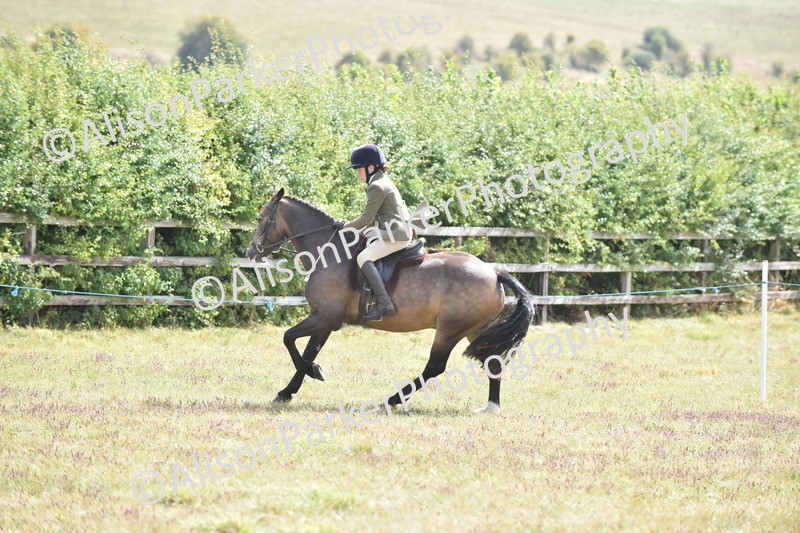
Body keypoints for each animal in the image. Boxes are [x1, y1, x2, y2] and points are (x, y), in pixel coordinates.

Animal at [246, 188, 535, 413]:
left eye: (260, 218)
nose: (251, 252)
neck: (328, 252)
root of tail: (494, 273)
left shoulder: (325, 317)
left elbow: (289, 339)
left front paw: (313, 372)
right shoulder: (326, 320)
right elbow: (306, 351)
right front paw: (289, 390)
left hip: (450, 330)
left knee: (435, 367)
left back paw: (391, 400)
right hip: (475, 329)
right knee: (492, 361)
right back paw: (491, 407)